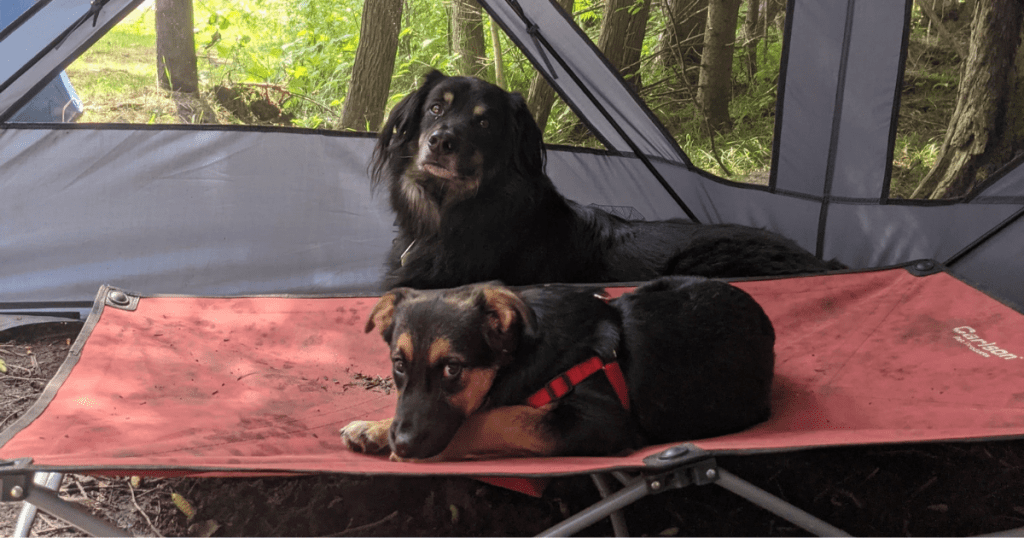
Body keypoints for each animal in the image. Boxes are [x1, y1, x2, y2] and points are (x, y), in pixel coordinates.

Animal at [339, 276, 770, 461]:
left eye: (452, 369)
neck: (521, 354)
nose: (404, 444)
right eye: (398, 365)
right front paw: (374, 428)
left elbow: (495, 418)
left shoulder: (600, 421)